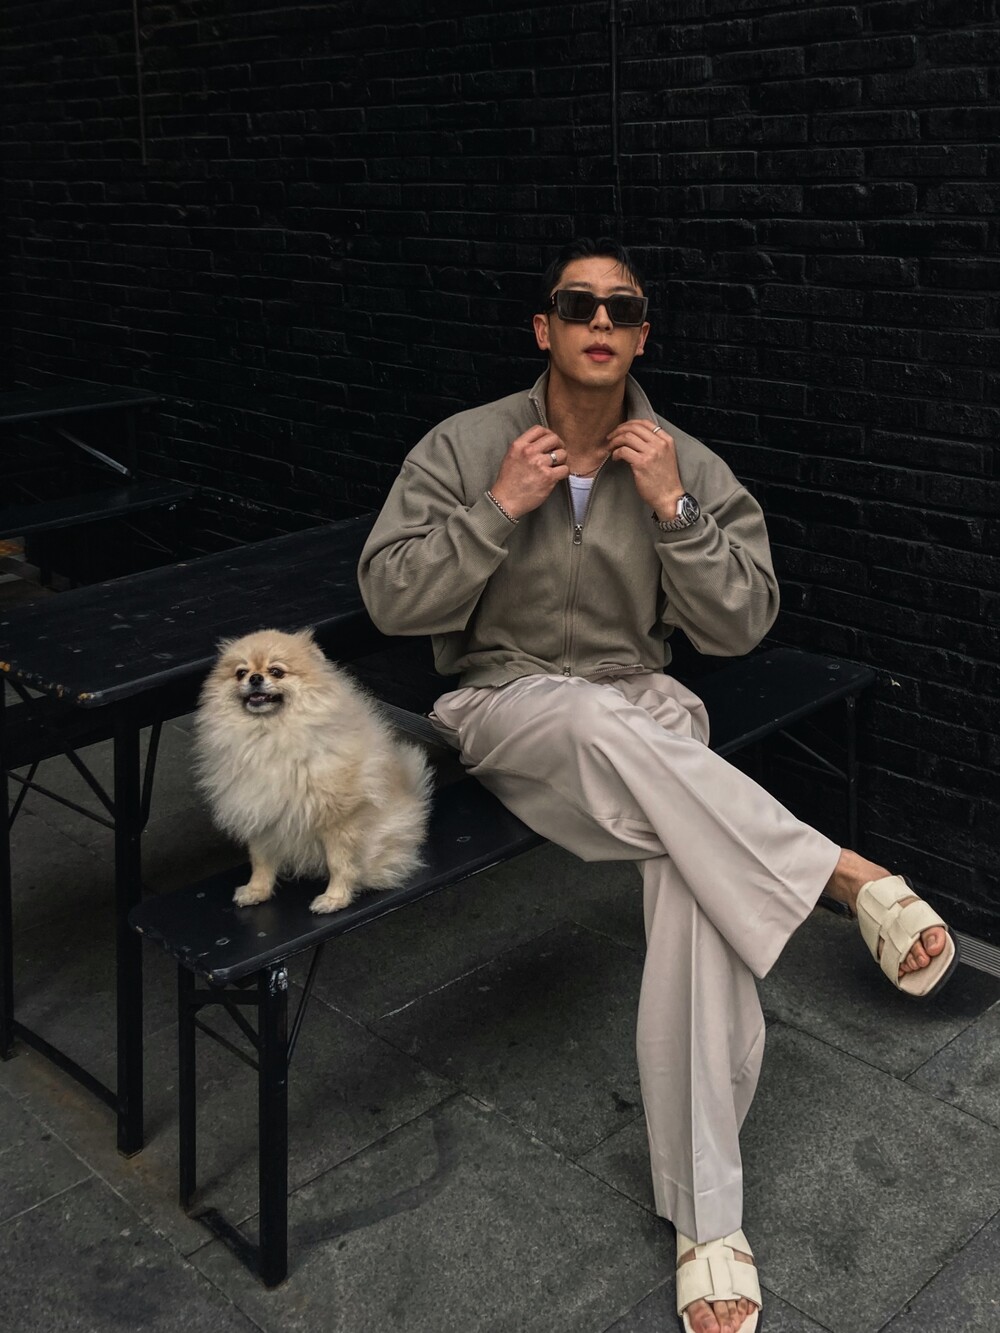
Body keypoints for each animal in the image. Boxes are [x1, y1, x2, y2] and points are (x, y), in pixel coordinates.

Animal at [193, 627, 432, 914]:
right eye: (241, 672)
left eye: (276, 671)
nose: (255, 677)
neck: (268, 736)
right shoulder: (260, 813)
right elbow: (260, 859)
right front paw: (256, 890)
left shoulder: (337, 818)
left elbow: (339, 863)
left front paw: (334, 899)